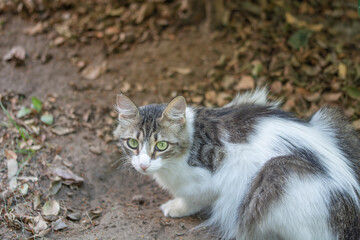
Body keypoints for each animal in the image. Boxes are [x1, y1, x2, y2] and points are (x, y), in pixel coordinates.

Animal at [113, 88, 360, 240]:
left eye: (162, 145)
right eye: (133, 143)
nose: (143, 165)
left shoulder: (211, 181)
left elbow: (193, 199)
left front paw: (176, 207)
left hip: (277, 172)